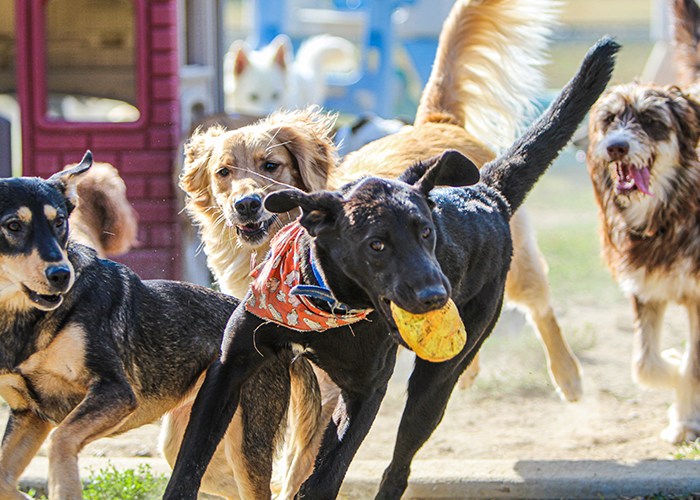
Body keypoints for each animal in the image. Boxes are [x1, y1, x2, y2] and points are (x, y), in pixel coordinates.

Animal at [0, 154, 296, 498]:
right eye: (13, 226)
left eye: (59, 222)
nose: (62, 275)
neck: (23, 317)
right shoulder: (28, 415)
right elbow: (5, 478)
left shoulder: (115, 391)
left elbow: (60, 441)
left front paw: (64, 486)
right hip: (189, 446)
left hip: (246, 447)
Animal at [584, 0, 700, 444]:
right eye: (610, 120)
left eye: (651, 120)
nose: (616, 147)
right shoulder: (646, 288)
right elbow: (647, 365)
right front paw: (682, 405)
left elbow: (692, 364)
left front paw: (686, 417)